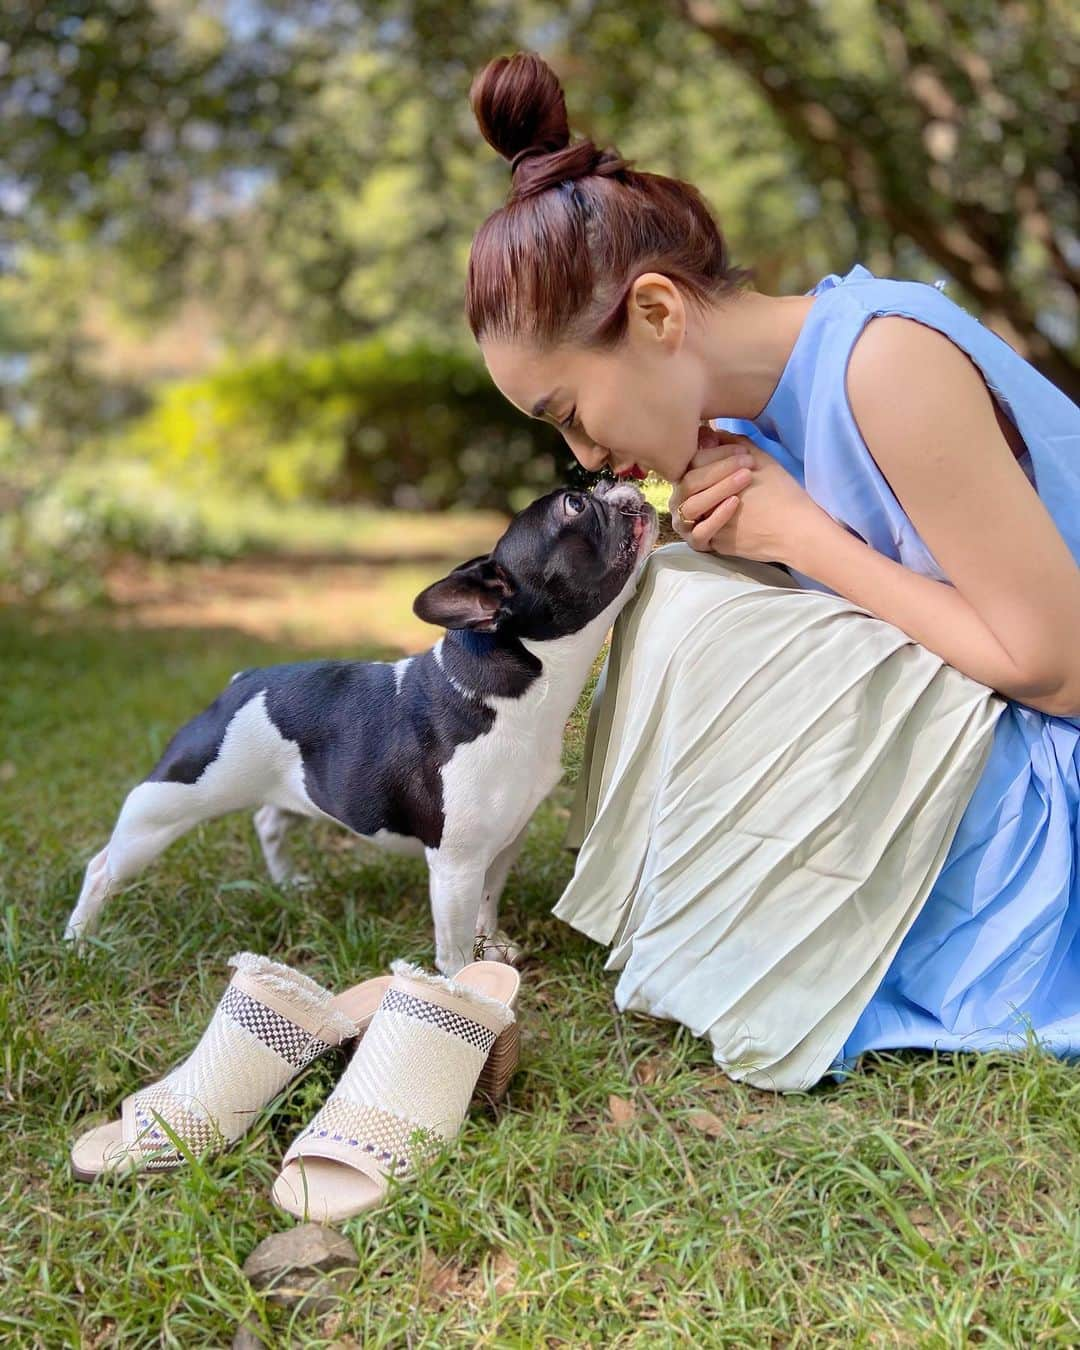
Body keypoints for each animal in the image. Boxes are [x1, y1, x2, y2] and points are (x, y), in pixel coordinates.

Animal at [67, 480, 661, 977]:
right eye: (575, 505)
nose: (612, 479)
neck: (512, 686)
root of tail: (242, 682)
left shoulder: (502, 844)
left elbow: (488, 905)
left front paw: (494, 949)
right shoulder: (456, 864)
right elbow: (453, 941)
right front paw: (462, 987)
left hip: (298, 790)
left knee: (269, 820)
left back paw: (289, 883)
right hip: (165, 805)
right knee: (102, 867)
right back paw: (80, 942)